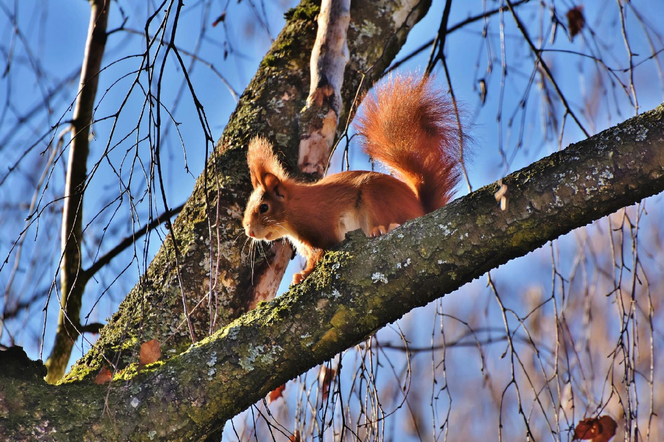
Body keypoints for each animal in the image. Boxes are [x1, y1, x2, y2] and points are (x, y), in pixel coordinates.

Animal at [243, 74, 462, 284]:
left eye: (264, 207)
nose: (249, 232)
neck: (294, 209)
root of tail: (421, 210)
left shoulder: (321, 227)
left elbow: (319, 253)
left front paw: (303, 274)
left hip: (376, 197)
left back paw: (383, 229)